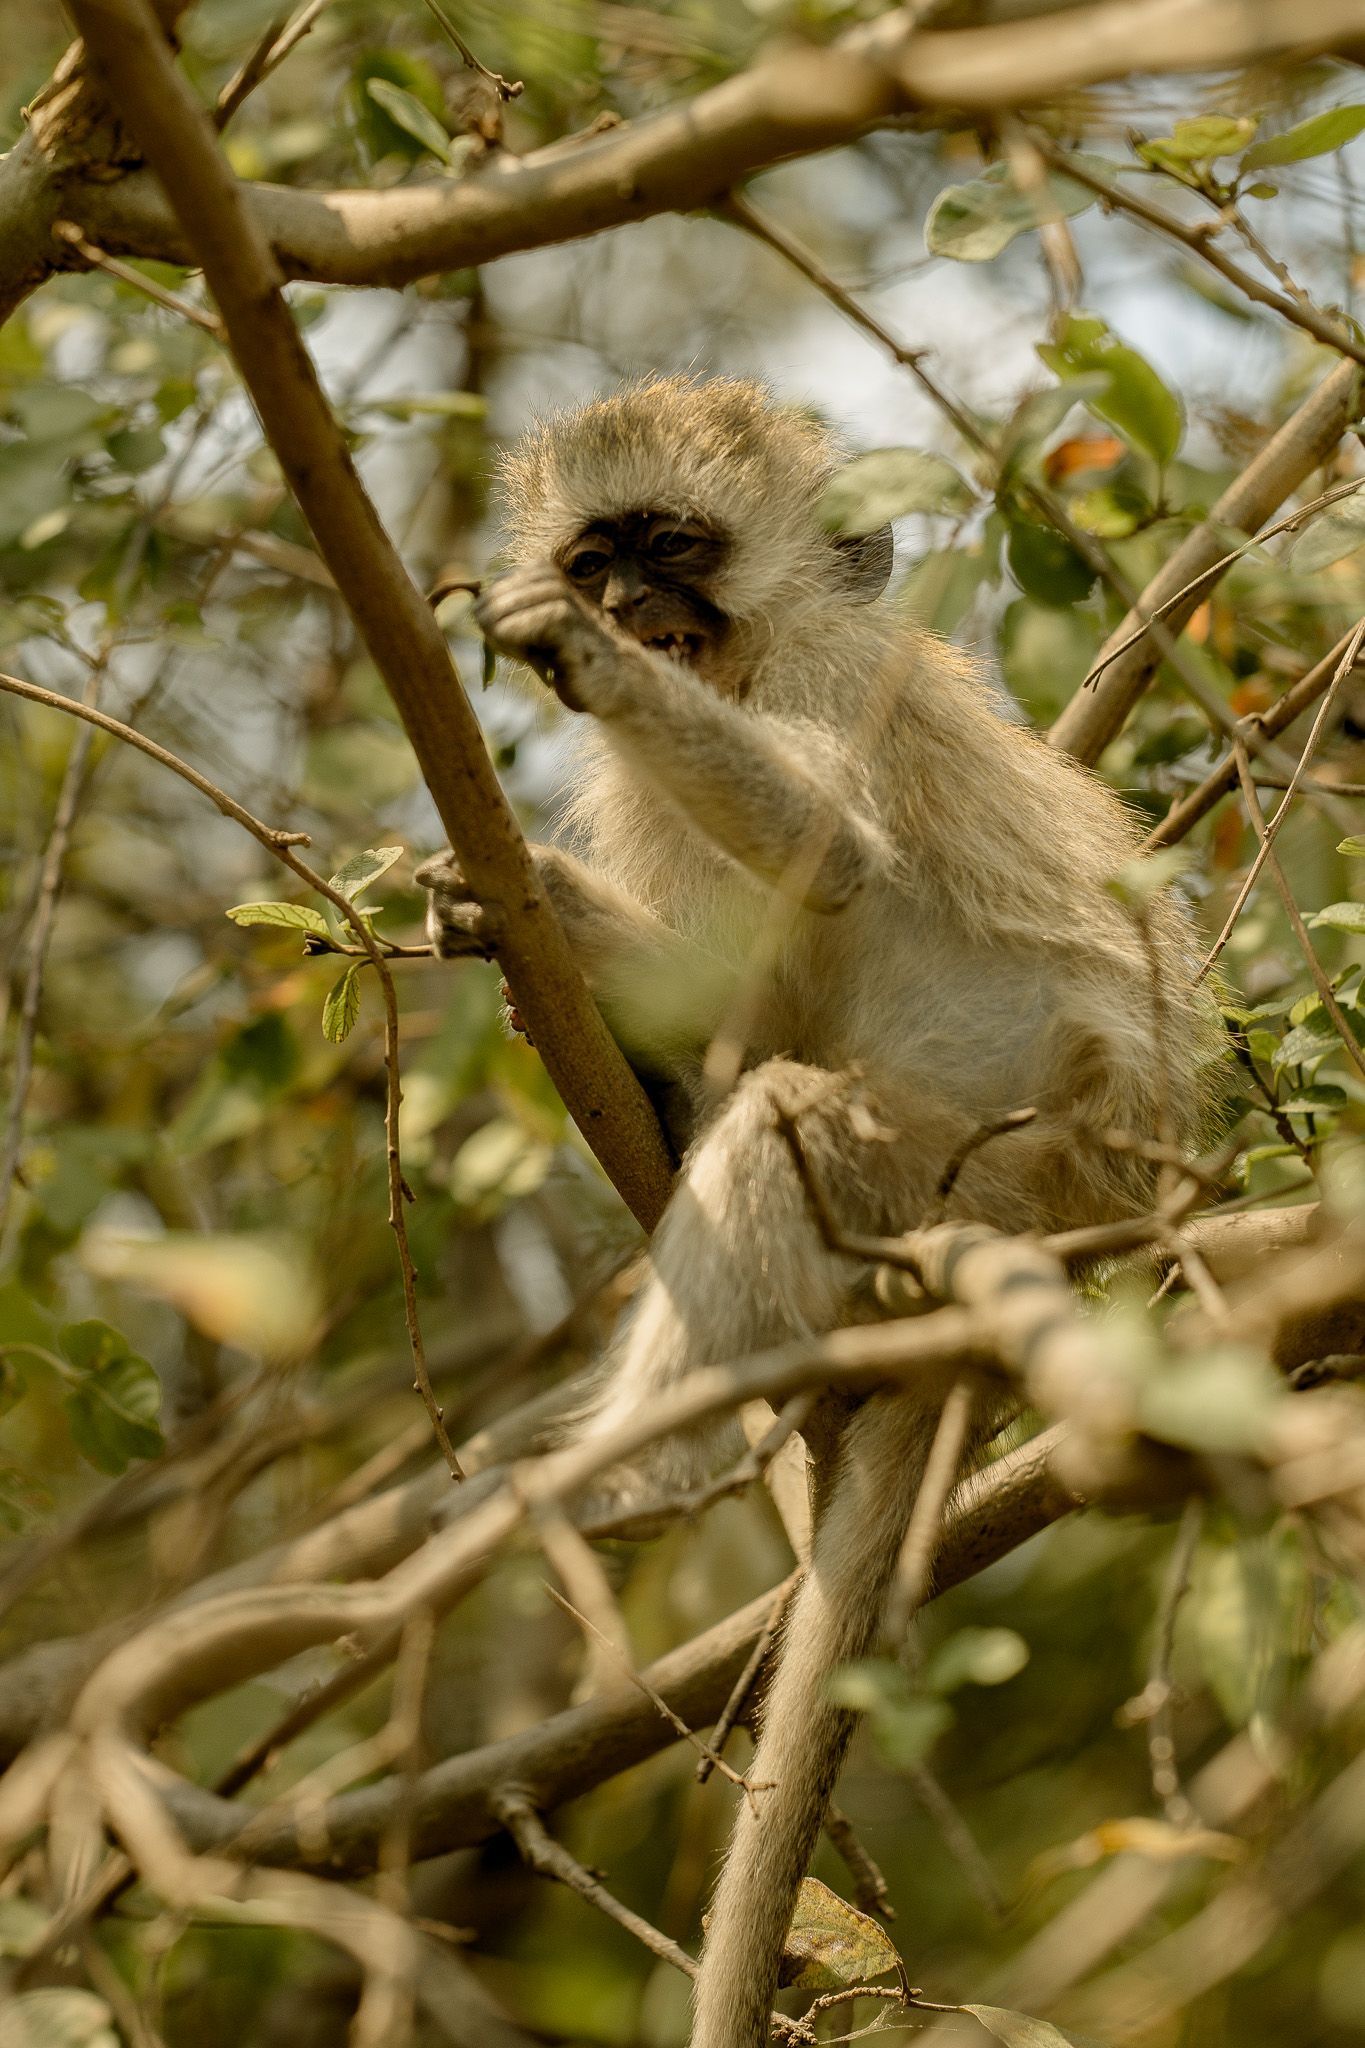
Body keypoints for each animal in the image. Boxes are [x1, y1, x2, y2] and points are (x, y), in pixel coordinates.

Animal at [418, 375, 1217, 2048]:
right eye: (596, 552)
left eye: (674, 546)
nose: (624, 613)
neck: (741, 660)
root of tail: (1072, 1229)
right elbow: (707, 985)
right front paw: (510, 908)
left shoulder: (838, 675)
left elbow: (838, 858)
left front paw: (581, 670)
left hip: (961, 1166)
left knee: (789, 1101)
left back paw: (618, 1474)